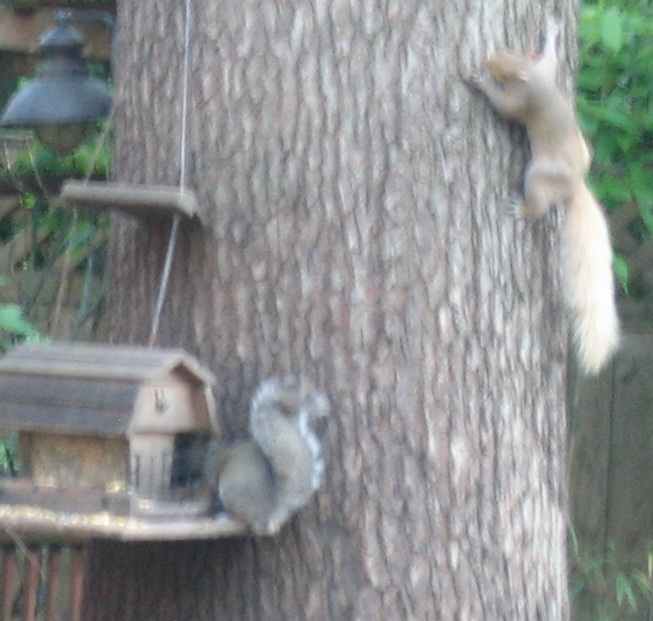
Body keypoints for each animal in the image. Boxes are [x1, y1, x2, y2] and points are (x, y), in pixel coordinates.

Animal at [465, 17, 619, 374]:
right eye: (508, 48)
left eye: (504, 73)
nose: (487, 60)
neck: (533, 79)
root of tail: (575, 185)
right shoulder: (544, 69)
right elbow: (552, 58)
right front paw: (551, 32)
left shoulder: (521, 101)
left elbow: (504, 108)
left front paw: (481, 83)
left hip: (538, 174)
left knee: (539, 204)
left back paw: (522, 210)